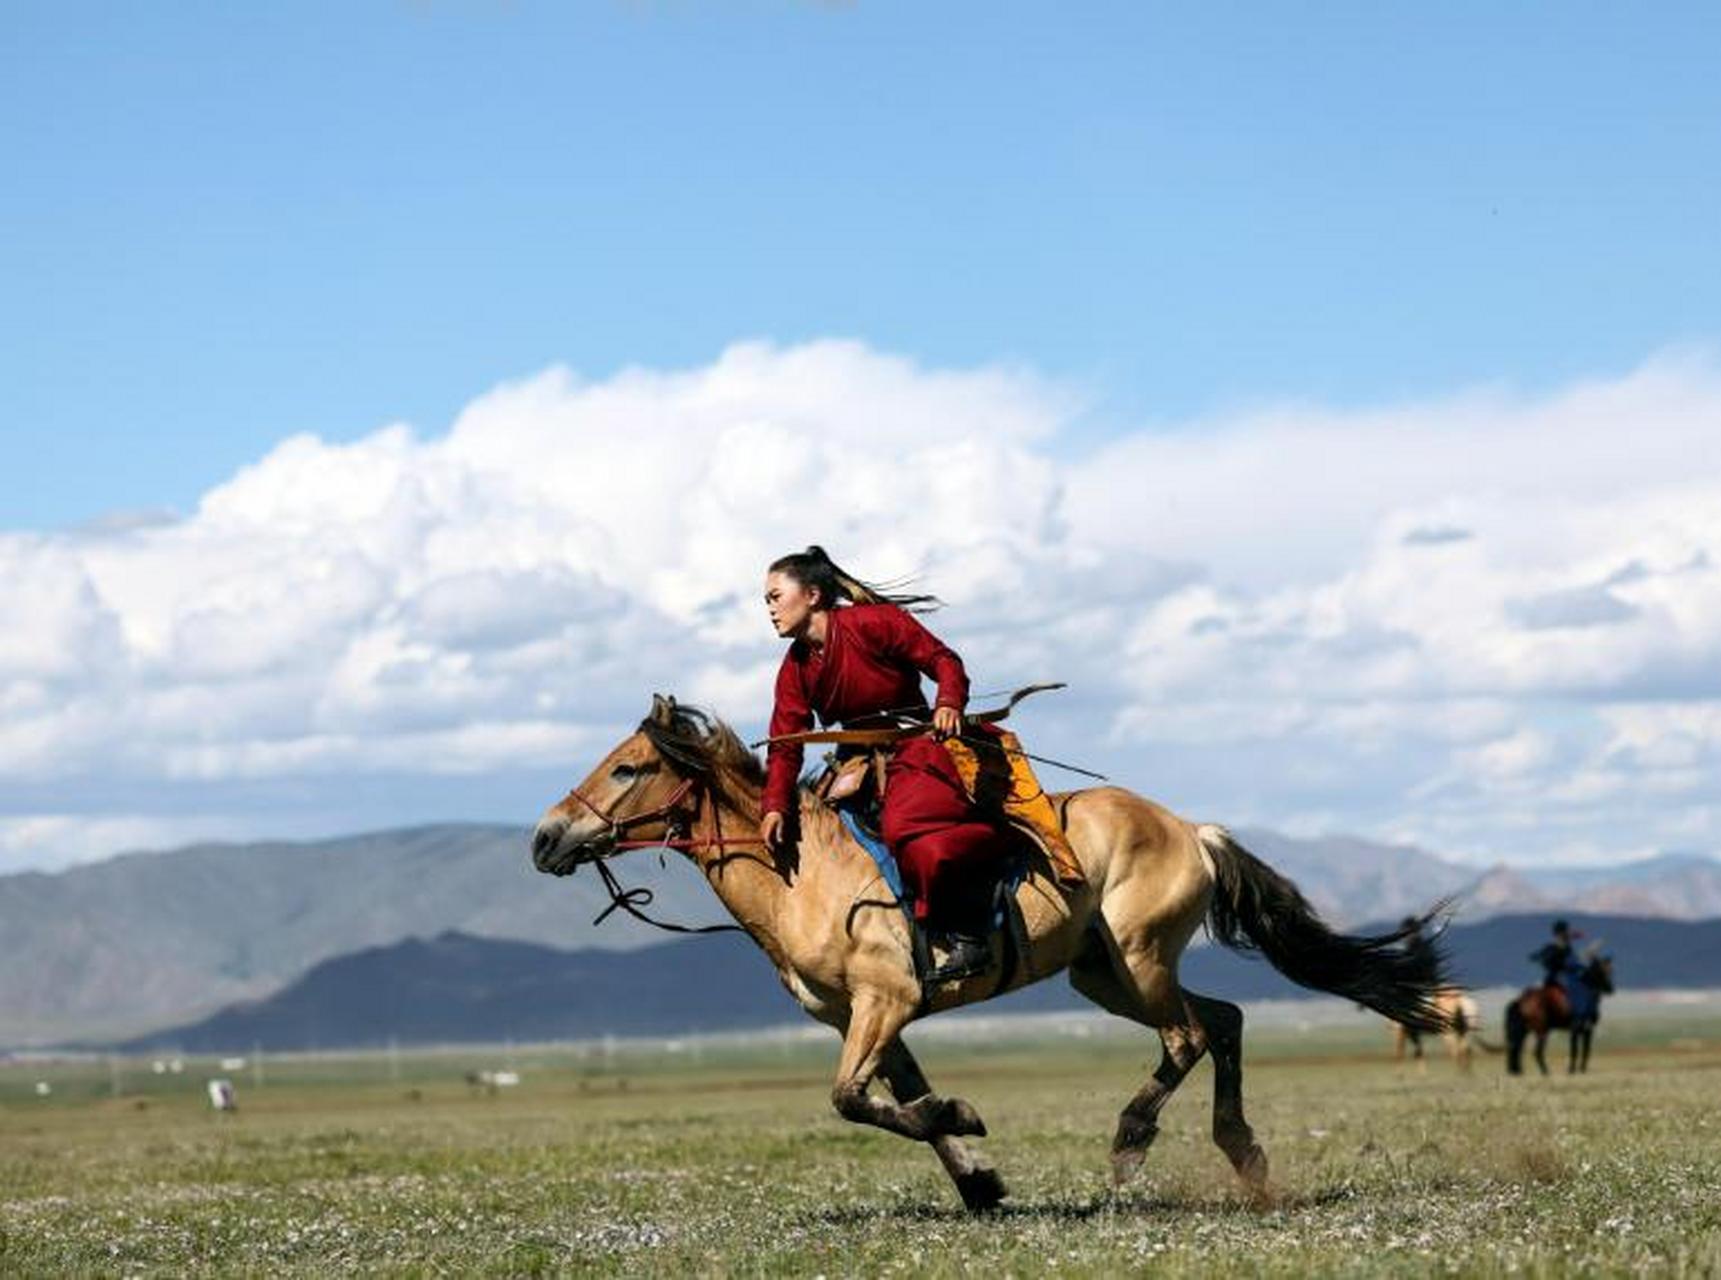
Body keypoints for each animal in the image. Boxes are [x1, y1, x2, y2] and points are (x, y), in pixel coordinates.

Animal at [526, 698, 1452, 1211]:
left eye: (628, 769)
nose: (544, 838)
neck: (802, 871)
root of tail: (1191, 828)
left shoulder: (884, 1002)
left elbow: (851, 1101)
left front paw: (966, 1123)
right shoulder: (864, 1017)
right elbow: (895, 1101)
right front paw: (978, 1180)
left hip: (1139, 958)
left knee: (1188, 1036)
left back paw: (1130, 1141)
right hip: (1103, 973)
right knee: (1221, 1021)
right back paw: (1245, 1156)